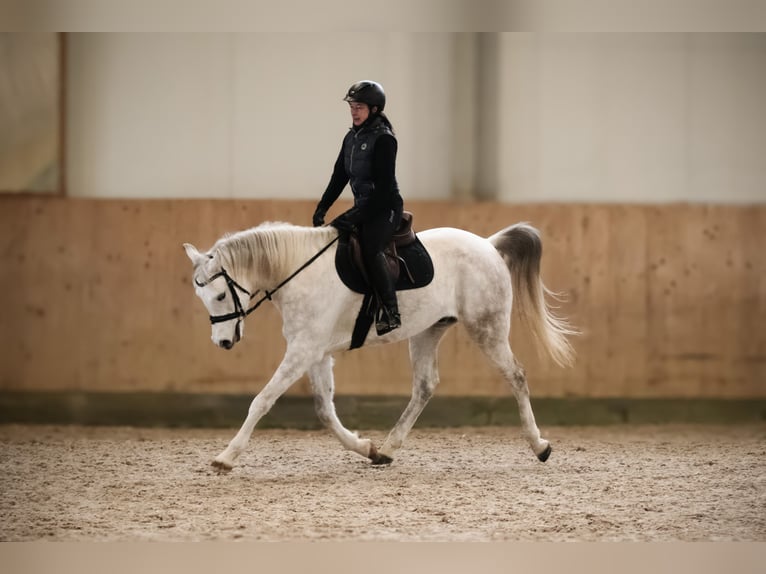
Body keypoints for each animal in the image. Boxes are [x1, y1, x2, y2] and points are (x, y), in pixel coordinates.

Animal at [183, 222, 572, 472]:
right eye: (202, 298)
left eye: (220, 295)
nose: (223, 342)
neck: (299, 273)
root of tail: (488, 245)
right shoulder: (314, 352)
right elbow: (324, 410)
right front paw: (365, 448)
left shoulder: (303, 350)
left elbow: (262, 400)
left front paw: (226, 457)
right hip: (428, 331)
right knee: (425, 386)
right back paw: (386, 450)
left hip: (486, 328)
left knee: (516, 376)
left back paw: (540, 446)